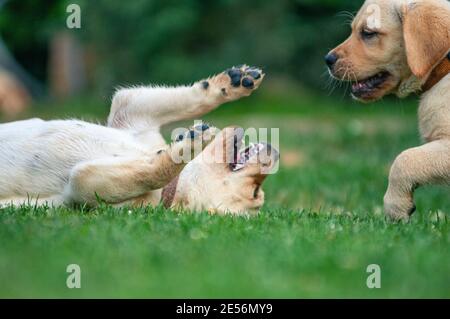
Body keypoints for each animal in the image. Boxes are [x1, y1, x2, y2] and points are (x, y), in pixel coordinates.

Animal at [0, 65, 278, 216]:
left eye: (255, 192)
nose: (274, 152)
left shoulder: (84, 189)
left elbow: (151, 173)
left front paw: (189, 145)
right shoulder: (130, 112)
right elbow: (193, 99)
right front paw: (233, 82)